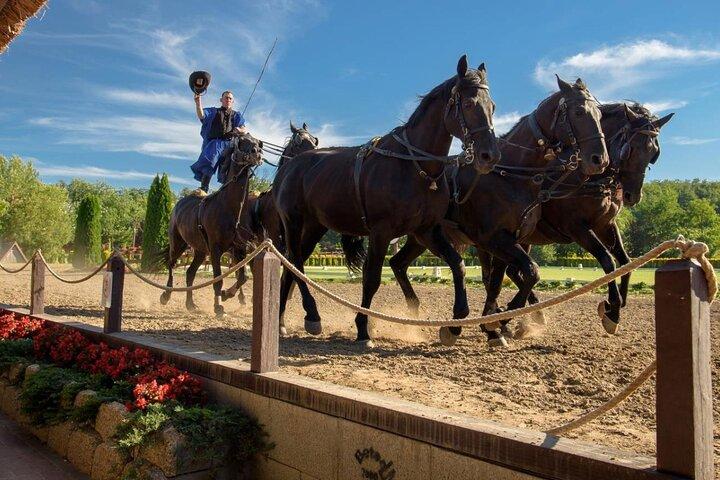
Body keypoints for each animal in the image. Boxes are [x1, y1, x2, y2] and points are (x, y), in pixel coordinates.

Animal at [158, 133, 263, 316]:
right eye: (242, 140)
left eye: (258, 142)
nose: (256, 152)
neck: (230, 208)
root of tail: (179, 204)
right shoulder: (216, 249)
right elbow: (218, 278)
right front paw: (219, 306)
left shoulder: (240, 248)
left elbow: (243, 276)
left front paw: (227, 295)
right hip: (178, 243)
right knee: (171, 264)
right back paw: (166, 295)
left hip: (201, 250)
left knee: (190, 273)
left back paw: (190, 304)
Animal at [273, 55, 501, 347]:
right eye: (470, 104)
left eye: (492, 106)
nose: (489, 155)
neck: (415, 167)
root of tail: (291, 166)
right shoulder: (381, 232)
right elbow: (371, 278)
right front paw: (362, 328)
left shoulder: (426, 231)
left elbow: (458, 265)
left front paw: (456, 321)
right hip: (293, 222)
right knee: (296, 263)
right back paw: (312, 314)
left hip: (314, 227)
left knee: (292, 265)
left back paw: (280, 320)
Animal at [389, 77, 609, 348]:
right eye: (578, 112)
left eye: (599, 114)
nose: (600, 159)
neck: (511, 174)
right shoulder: (493, 239)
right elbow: (530, 271)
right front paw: (499, 319)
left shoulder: (508, 241)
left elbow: (498, 282)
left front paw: (493, 323)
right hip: (425, 236)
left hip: (420, 238)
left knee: (397, 263)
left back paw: (415, 309)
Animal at [492, 103, 673, 336]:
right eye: (629, 149)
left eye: (654, 152)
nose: (632, 195)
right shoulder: (576, 228)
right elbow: (608, 261)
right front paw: (612, 310)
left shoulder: (605, 224)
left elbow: (625, 262)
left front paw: (617, 304)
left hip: (523, 240)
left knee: (514, 270)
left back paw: (531, 313)